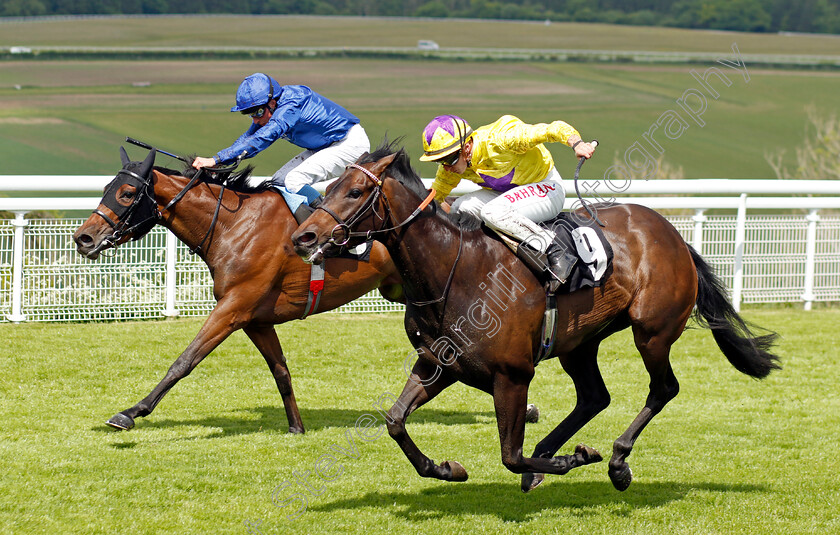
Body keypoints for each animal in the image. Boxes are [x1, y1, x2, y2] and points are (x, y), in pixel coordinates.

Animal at [74, 149, 402, 434]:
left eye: (127, 193)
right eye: (106, 188)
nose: (83, 238)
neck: (232, 226)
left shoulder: (233, 307)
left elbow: (185, 360)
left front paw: (130, 412)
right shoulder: (256, 321)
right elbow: (280, 370)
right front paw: (296, 427)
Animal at [290, 144, 780, 492]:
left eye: (354, 192)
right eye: (328, 188)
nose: (303, 236)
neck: (455, 270)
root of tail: (673, 236)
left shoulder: (513, 374)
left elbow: (510, 454)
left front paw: (574, 459)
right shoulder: (438, 365)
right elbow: (394, 421)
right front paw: (446, 467)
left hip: (652, 333)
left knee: (662, 389)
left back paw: (616, 461)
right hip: (580, 343)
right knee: (594, 397)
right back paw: (554, 455)